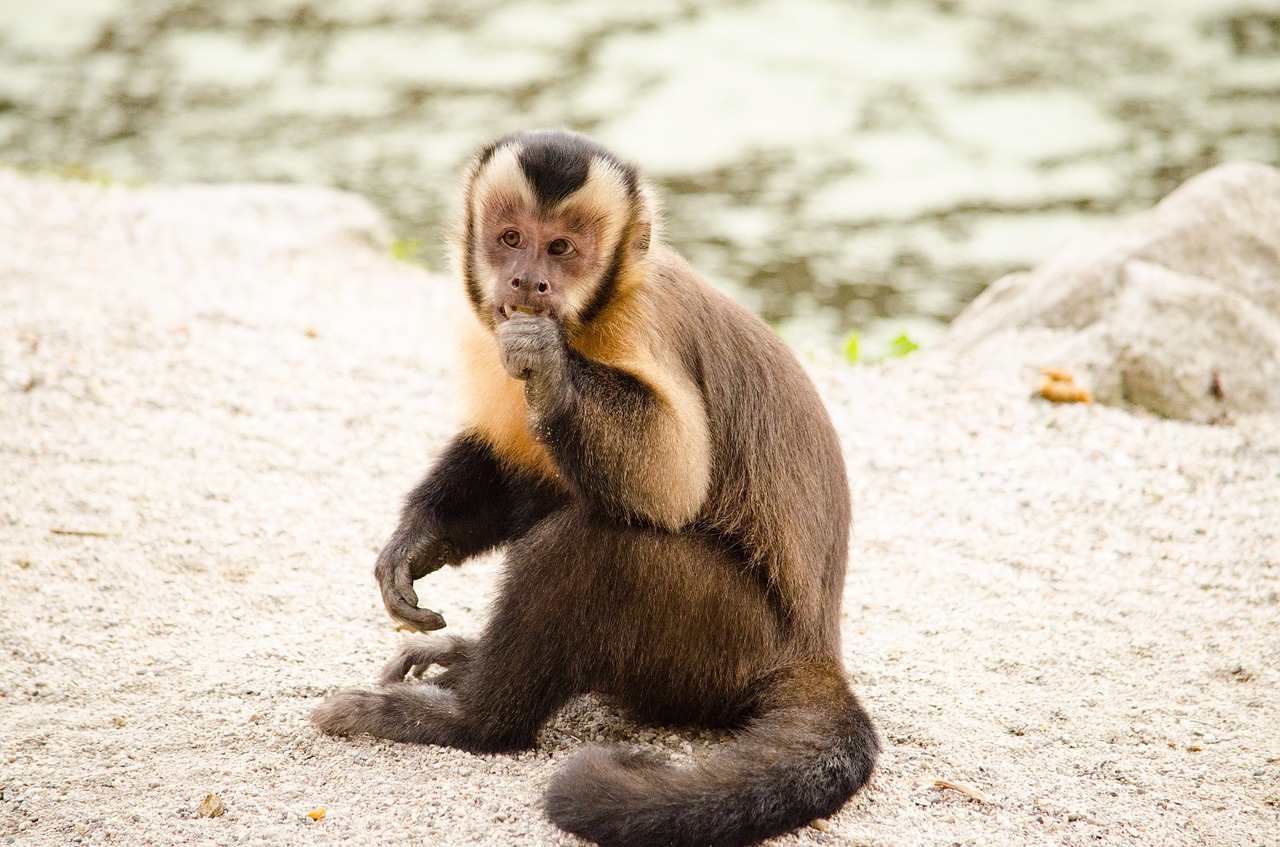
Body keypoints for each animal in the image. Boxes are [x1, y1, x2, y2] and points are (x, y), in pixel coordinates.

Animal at [312, 129, 880, 844]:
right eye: (510, 238)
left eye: (561, 249)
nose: (528, 280)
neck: (586, 320)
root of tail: (817, 653)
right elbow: (513, 467)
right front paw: (415, 540)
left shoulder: (640, 324)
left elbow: (669, 480)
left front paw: (551, 366)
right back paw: (471, 663)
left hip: (727, 647)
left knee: (592, 546)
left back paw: (471, 719)